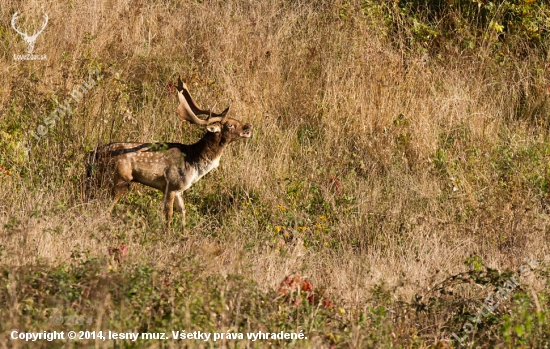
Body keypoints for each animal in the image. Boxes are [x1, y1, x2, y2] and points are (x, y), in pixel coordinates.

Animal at [88, 77, 254, 227]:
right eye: (231, 125)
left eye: (236, 119)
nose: (249, 125)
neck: (193, 162)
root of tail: (92, 155)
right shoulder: (171, 184)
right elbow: (169, 214)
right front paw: (167, 234)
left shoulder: (180, 189)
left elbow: (183, 211)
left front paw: (184, 233)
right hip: (119, 177)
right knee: (106, 207)